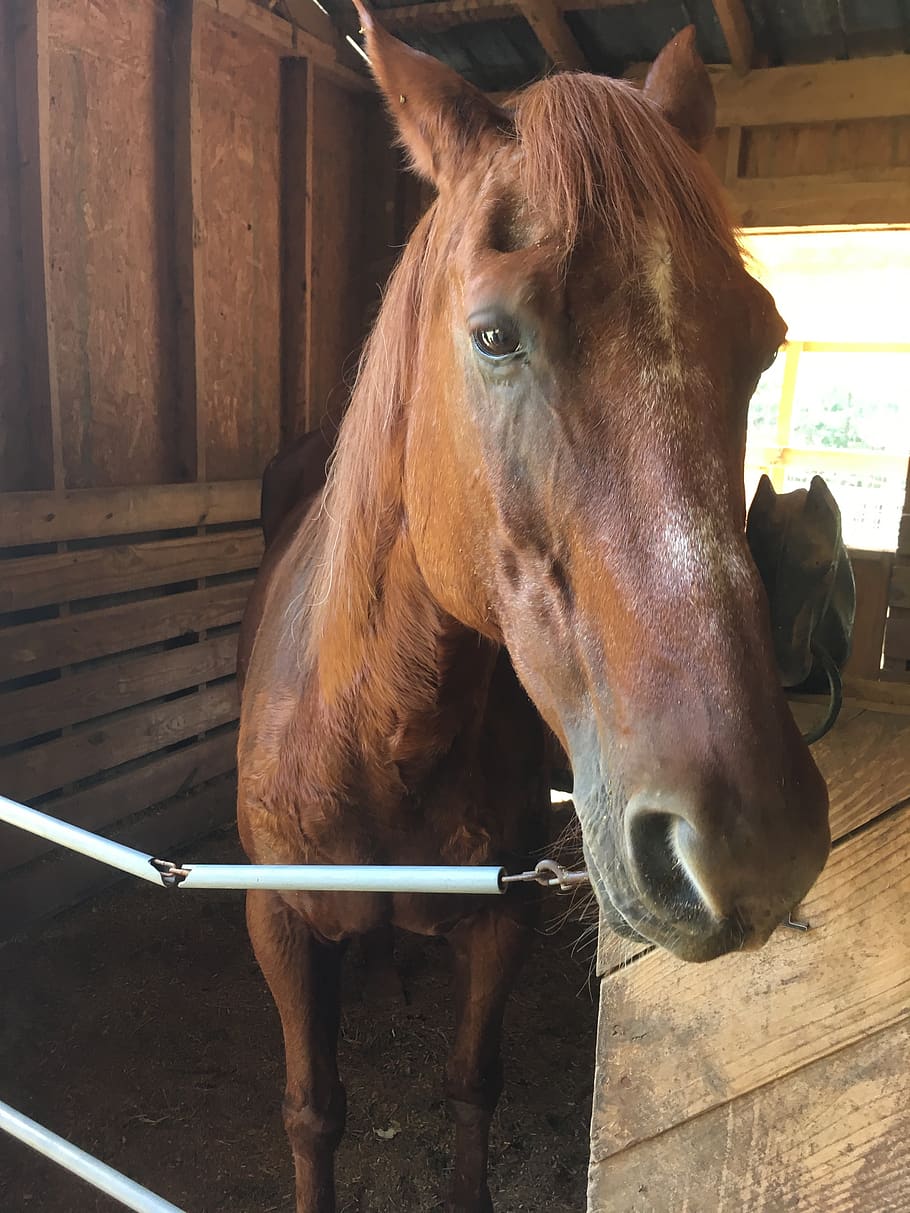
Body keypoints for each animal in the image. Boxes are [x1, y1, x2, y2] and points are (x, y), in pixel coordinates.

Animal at [236, 8, 831, 1210]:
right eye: (495, 335)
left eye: (760, 342)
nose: (751, 847)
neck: (376, 730)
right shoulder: (274, 921)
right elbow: (312, 1110)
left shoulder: (501, 920)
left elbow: (474, 1084)